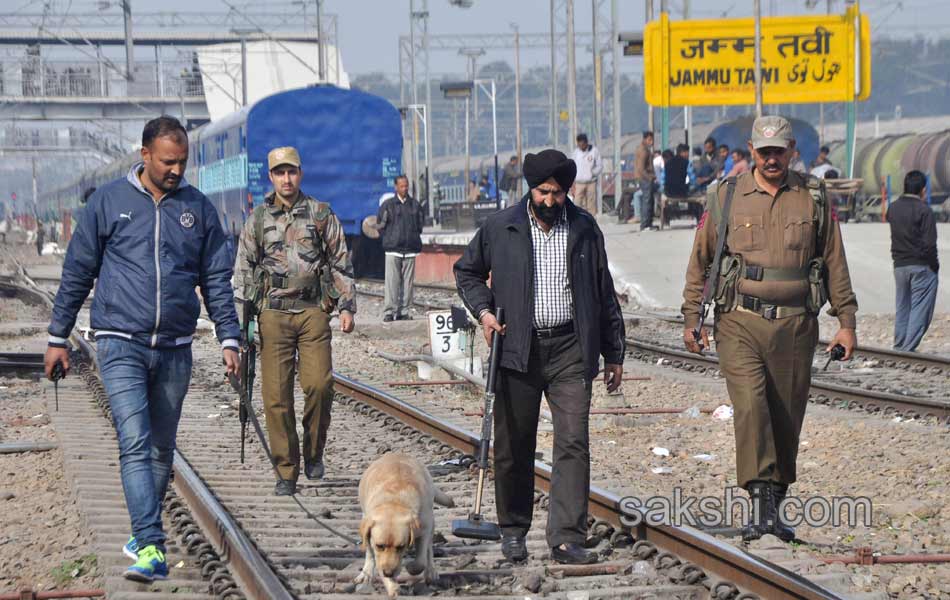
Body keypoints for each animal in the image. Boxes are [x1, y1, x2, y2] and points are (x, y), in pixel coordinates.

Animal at [356, 454, 456, 596]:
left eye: (401, 547)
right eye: (380, 546)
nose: (388, 573)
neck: (394, 500)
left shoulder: (424, 529)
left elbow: (421, 560)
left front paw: (411, 568)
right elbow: (374, 555)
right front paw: (392, 587)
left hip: (431, 523)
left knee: (429, 550)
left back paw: (430, 571)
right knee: (369, 552)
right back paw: (367, 573)